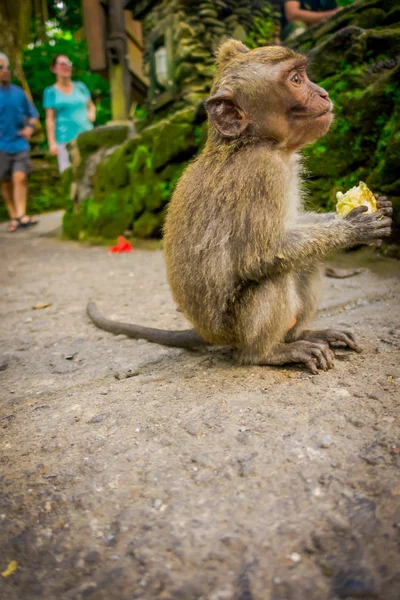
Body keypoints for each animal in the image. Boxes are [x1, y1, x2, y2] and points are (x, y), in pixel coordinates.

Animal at [86, 39, 390, 372]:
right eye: (296, 79)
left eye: (304, 74)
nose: (323, 93)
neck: (250, 141)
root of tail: (209, 333)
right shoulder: (262, 173)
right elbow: (259, 256)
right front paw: (353, 229)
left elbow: (293, 229)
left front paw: (377, 207)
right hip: (238, 328)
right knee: (274, 277)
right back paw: (269, 353)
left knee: (307, 262)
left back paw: (303, 334)